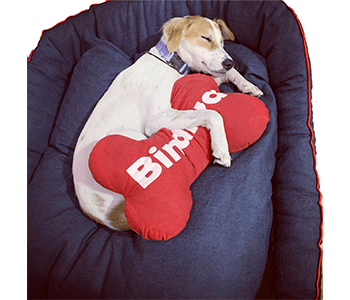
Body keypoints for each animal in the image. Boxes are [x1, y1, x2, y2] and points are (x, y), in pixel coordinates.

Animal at [72, 15, 264, 230]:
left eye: (222, 42)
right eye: (206, 38)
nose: (230, 62)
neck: (169, 62)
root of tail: (105, 216)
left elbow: (226, 76)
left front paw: (248, 85)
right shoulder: (157, 118)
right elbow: (213, 113)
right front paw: (221, 148)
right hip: (132, 136)